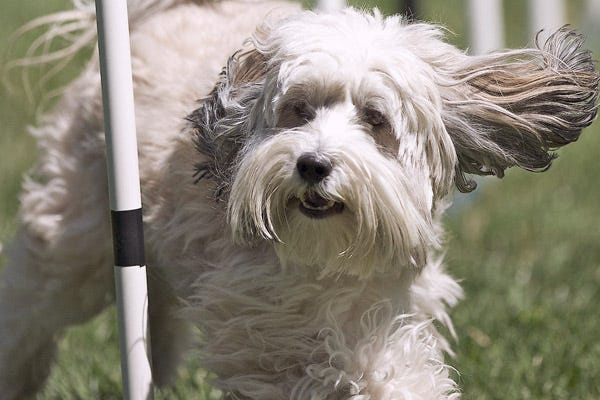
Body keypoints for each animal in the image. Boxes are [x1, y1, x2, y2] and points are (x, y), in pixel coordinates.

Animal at [0, 1, 596, 398]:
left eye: (375, 119)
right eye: (299, 110)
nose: (312, 164)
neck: (327, 259)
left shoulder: (386, 298)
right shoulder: (258, 314)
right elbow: (308, 364)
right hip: (78, 232)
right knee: (32, 303)